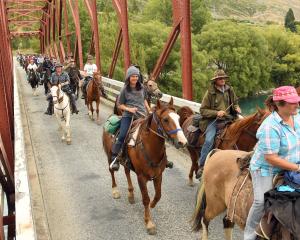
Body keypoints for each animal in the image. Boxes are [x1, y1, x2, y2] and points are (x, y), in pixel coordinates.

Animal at [103, 98, 188, 235]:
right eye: (165, 119)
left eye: (178, 118)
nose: (183, 142)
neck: (150, 148)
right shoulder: (141, 177)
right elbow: (146, 198)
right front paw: (149, 223)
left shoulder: (158, 175)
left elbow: (158, 195)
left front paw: (153, 205)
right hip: (109, 156)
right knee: (111, 171)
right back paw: (115, 190)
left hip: (126, 162)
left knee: (127, 172)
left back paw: (131, 195)